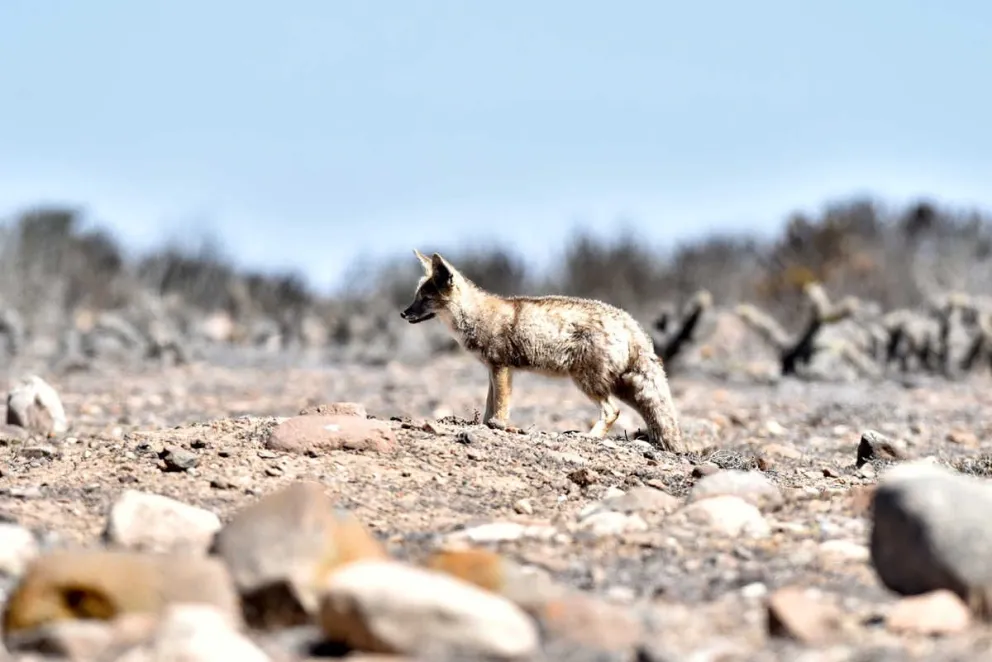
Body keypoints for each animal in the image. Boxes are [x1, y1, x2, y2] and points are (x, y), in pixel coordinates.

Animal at [400, 250, 684, 456]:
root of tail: (630, 322)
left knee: (611, 411)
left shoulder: (501, 367)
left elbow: (499, 407)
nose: (403, 313)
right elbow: (489, 406)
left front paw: (498, 426)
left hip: (588, 383)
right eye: (416, 297)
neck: (476, 315)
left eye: (425, 299)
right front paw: (486, 425)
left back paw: (590, 437)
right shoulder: (496, 370)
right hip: (620, 387)